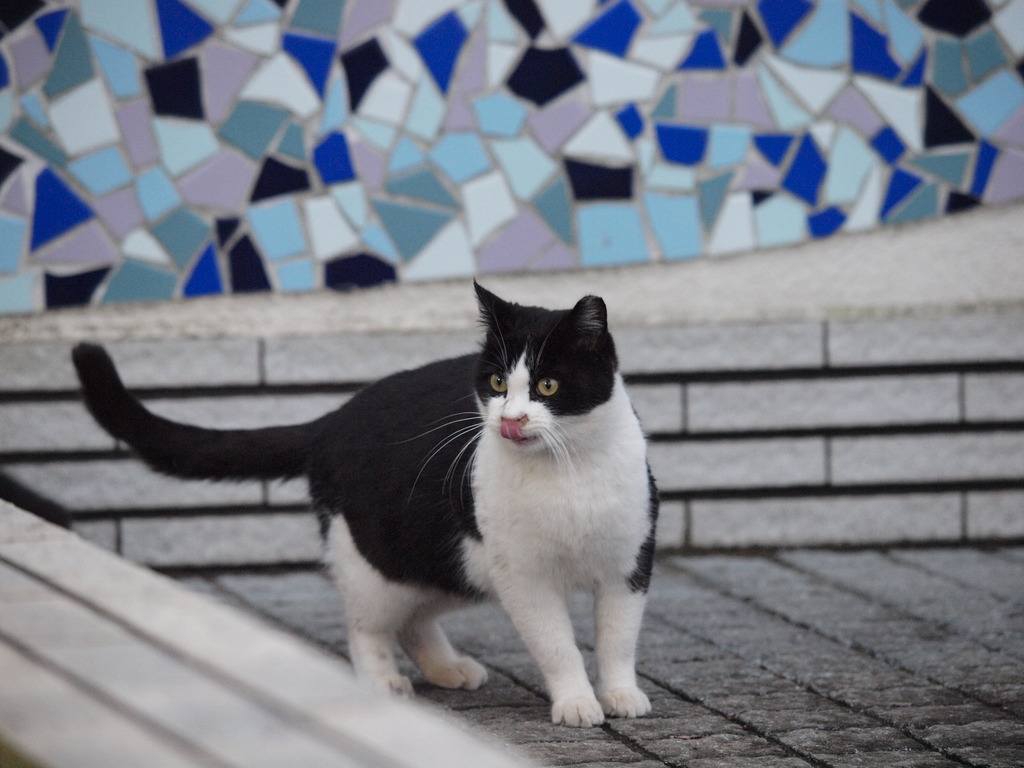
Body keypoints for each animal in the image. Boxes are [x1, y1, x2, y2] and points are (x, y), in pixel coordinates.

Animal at [75, 284, 659, 729]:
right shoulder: (525, 578)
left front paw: (620, 694)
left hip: (443, 560)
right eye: (497, 382)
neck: (568, 472)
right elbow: (557, 644)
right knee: (369, 624)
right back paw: (382, 680)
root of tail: (329, 422)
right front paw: (577, 702)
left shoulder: (629, 565)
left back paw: (448, 668)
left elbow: (617, 638)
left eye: (547, 385)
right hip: (376, 555)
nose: (510, 419)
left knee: (413, 616)